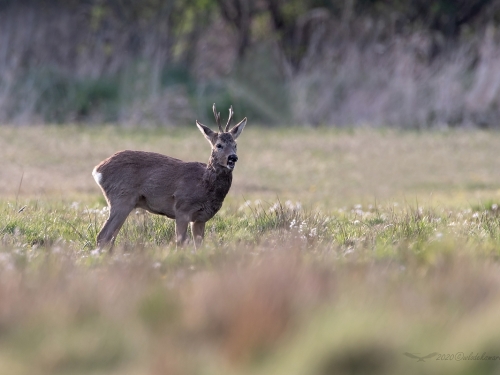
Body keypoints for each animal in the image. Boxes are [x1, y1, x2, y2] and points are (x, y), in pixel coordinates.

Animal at [93, 104, 247, 251]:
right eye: (219, 145)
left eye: (235, 145)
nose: (233, 158)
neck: (204, 184)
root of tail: (98, 170)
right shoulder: (182, 208)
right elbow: (181, 243)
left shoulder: (200, 218)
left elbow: (199, 246)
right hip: (121, 198)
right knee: (103, 236)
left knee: (110, 237)